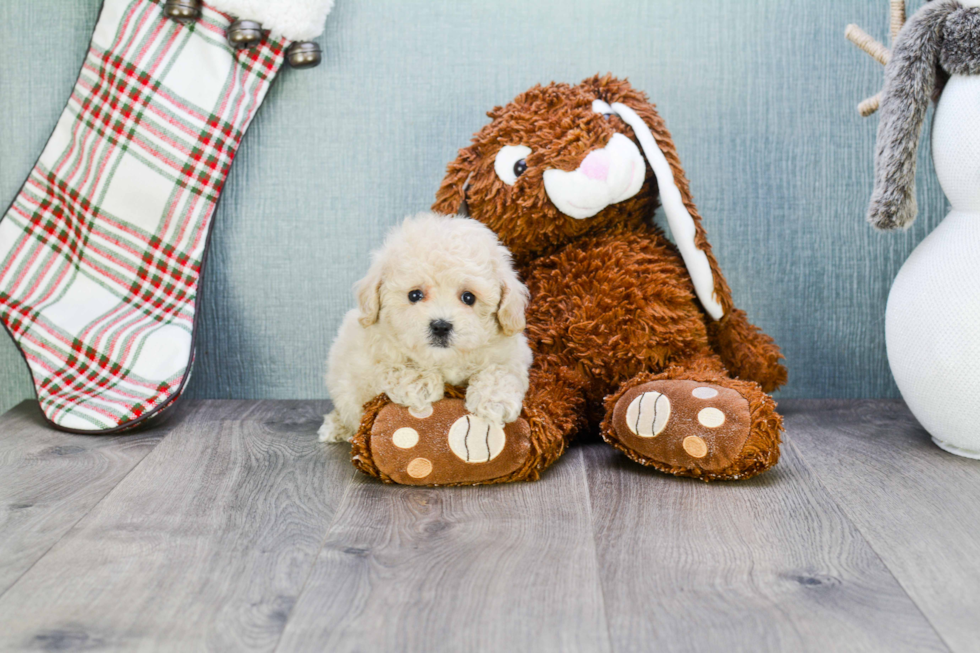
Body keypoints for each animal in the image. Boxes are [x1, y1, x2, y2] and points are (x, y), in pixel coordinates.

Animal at [320, 214, 532, 444]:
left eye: (469, 297)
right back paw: (335, 427)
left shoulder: (512, 353)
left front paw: (495, 402)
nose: (441, 326)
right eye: (414, 295)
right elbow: (390, 367)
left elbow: (501, 370)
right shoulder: (366, 356)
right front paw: (421, 383)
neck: (442, 359)